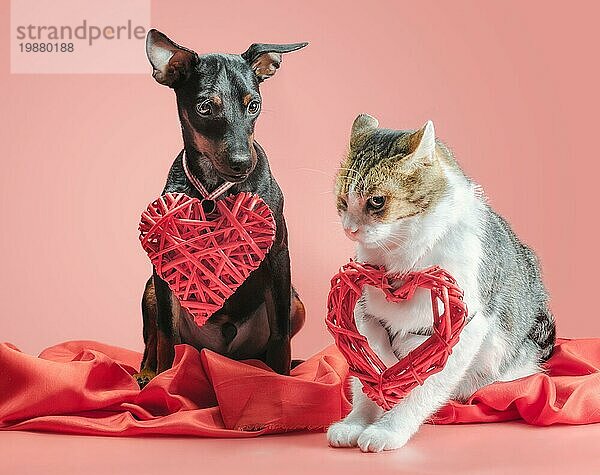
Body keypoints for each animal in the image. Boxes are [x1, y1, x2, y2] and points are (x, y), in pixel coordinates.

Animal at [134, 28, 308, 386]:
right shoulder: (164, 264)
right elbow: (166, 334)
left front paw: (283, 382)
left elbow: (281, 334)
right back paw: (147, 372)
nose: (242, 163)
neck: (216, 191)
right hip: (151, 291)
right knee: (154, 338)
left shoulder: (278, 257)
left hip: (296, 304)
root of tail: (221, 353)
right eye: (204, 107)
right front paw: (165, 380)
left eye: (253, 106)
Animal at [328, 115, 556, 454]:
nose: (350, 229)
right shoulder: (364, 315)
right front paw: (356, 422)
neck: (403, 256)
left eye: (377, 201)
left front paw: (388, 430)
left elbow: (422, 388)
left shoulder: (463, 327)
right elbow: (369, 375)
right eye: (343, 201)